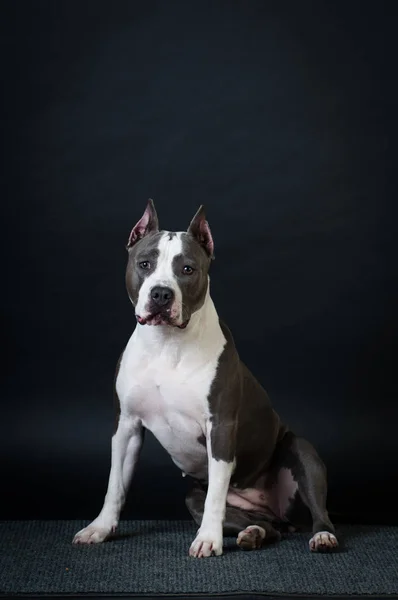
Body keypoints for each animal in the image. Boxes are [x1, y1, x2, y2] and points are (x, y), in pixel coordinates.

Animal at [73, 199, 338, 556]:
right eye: (145, 264)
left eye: (187, 269)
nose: (161, 294)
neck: (167, 344)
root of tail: (271, 509)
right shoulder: (126, 425)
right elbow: (115, 484)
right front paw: (100, 528)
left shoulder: (220, 426)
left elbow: (216, 496)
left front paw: (208, 539)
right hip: (193, 497)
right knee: (268, 527)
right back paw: (254, 533)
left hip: (302, 453)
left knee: (318, 511)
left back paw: (321, 536)